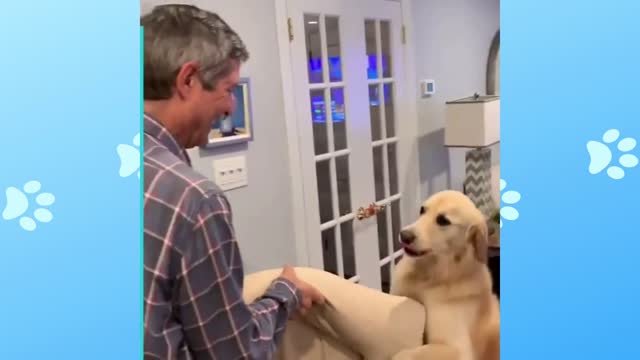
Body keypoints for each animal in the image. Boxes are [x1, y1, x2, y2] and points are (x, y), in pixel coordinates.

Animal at [390, 190, 500, 358]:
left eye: (443, 221)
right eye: (422, 210)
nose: (404, 235)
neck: (428, 277)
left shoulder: (459, 348)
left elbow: (406, 353)